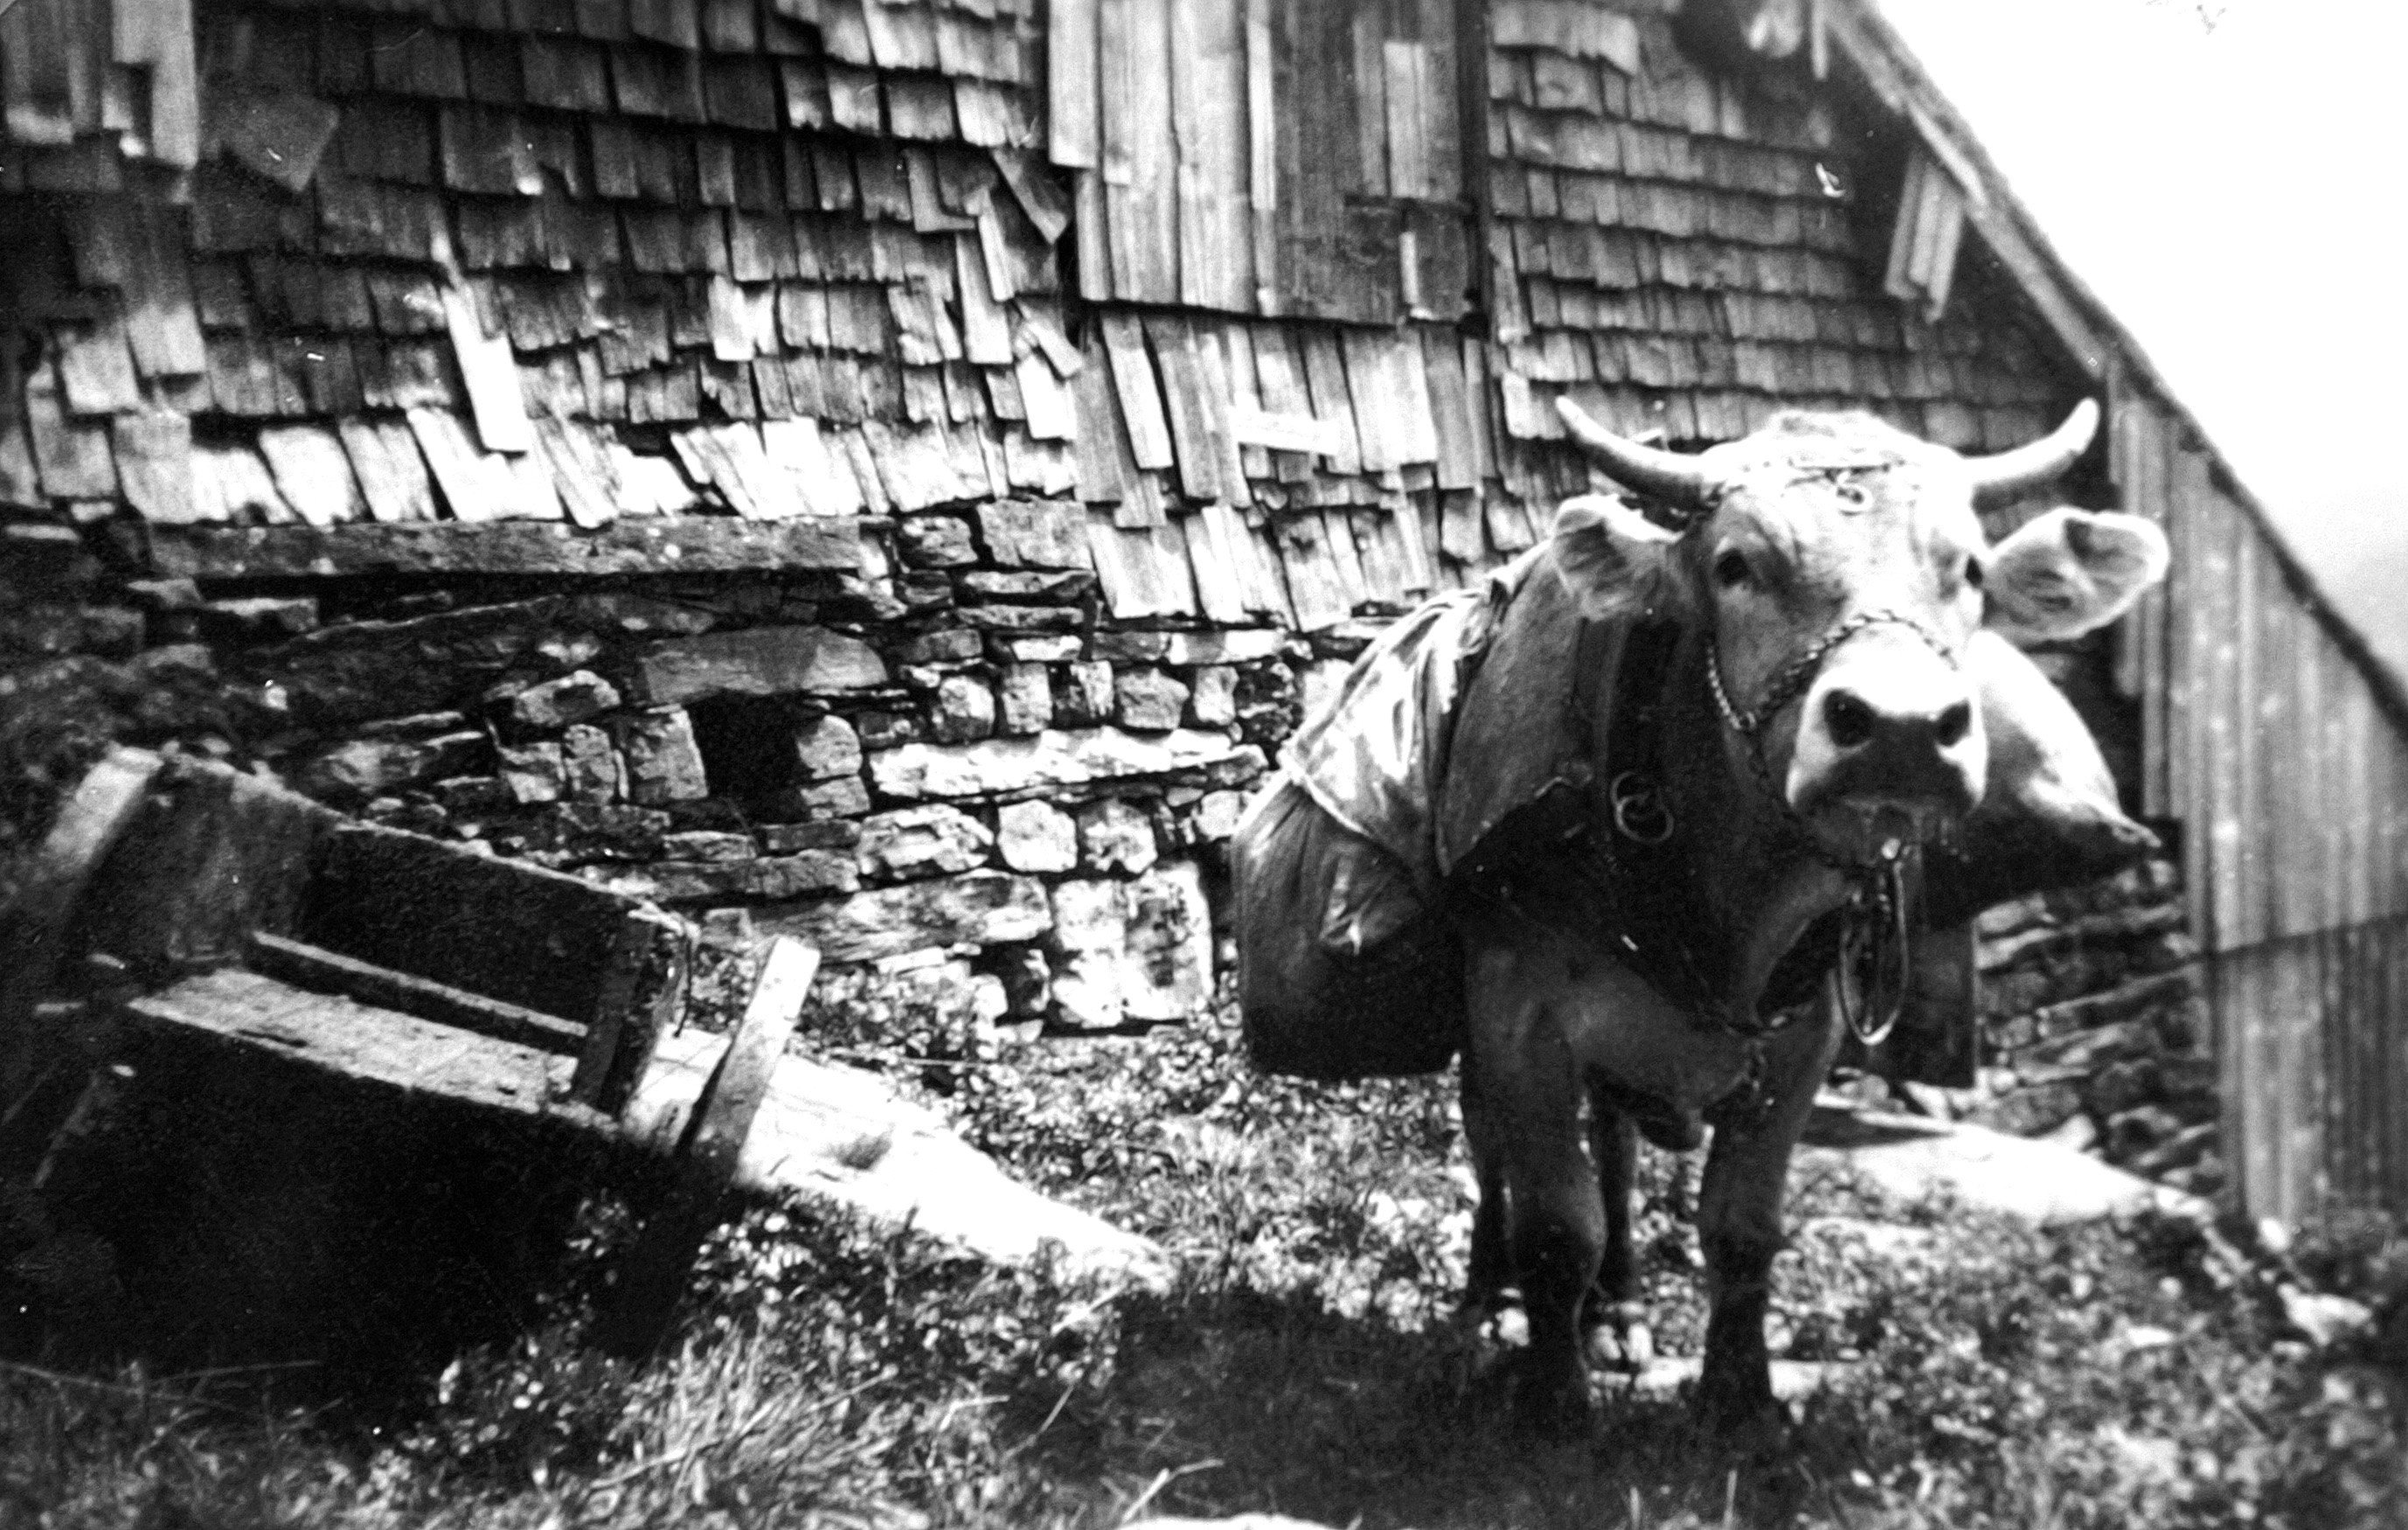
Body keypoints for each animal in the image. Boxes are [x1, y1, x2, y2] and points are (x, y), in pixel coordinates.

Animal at [1241, 395, 2169, 1439]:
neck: (1727, 894)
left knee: (1614, 1155)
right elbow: (1552, 1224)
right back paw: (1490, 1301)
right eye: (1735, 565)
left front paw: (1739, 1400)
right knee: (1496, 1152)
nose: (1897, 731)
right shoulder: (1518, 1008)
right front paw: (1550, 1403)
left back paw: (1620, 1314)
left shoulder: (1804, 1033)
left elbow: (1740, 1228)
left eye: (1969, 570)